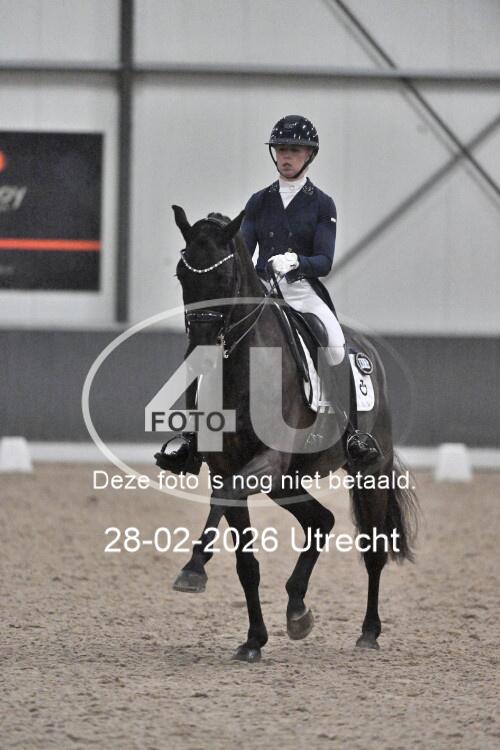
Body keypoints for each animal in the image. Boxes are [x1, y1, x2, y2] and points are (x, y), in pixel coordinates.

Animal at [165, 205, 418, 662]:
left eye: (223, 277)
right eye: (182, 275)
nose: (202, 353)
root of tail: (368, 352)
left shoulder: (264, 462)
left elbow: (226, 498)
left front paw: (193, 570)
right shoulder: (227, 466)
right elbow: (246, 562)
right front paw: (253, 641)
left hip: (368, 472)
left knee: (373, 552)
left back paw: (368, 632)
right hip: (287, 480)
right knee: (321, 521)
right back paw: (297, 609)